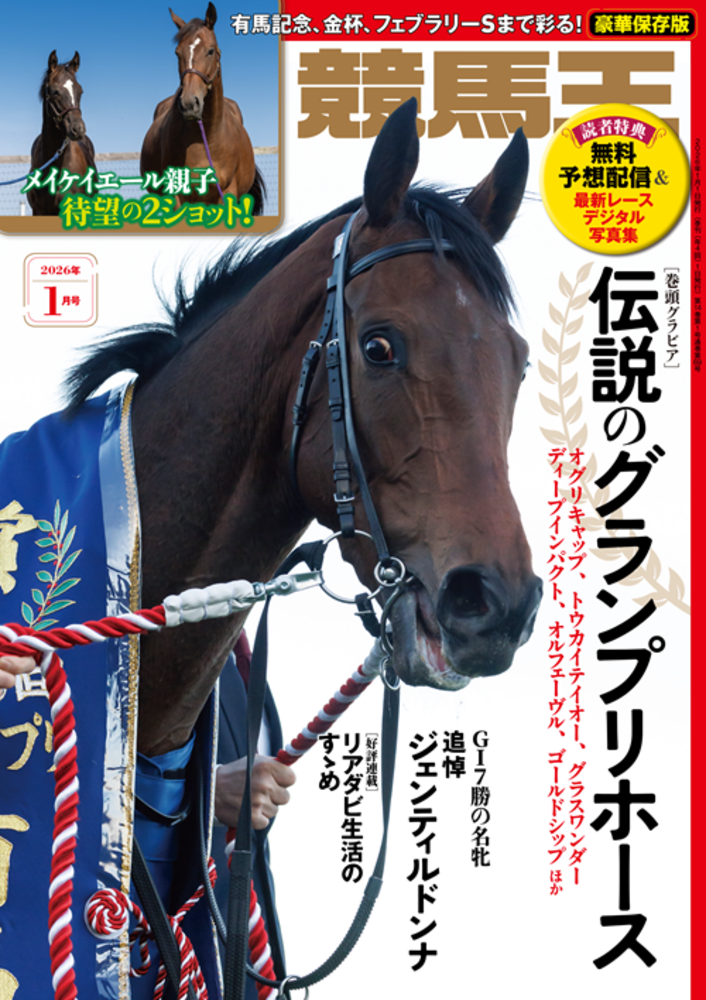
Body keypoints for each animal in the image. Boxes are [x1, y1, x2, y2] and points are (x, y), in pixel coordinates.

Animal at [140, 3, 265, 213]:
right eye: (177, 53)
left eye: (211, 51)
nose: (189, 104)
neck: (206, 138)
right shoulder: (177, 196)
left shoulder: (226, 194)